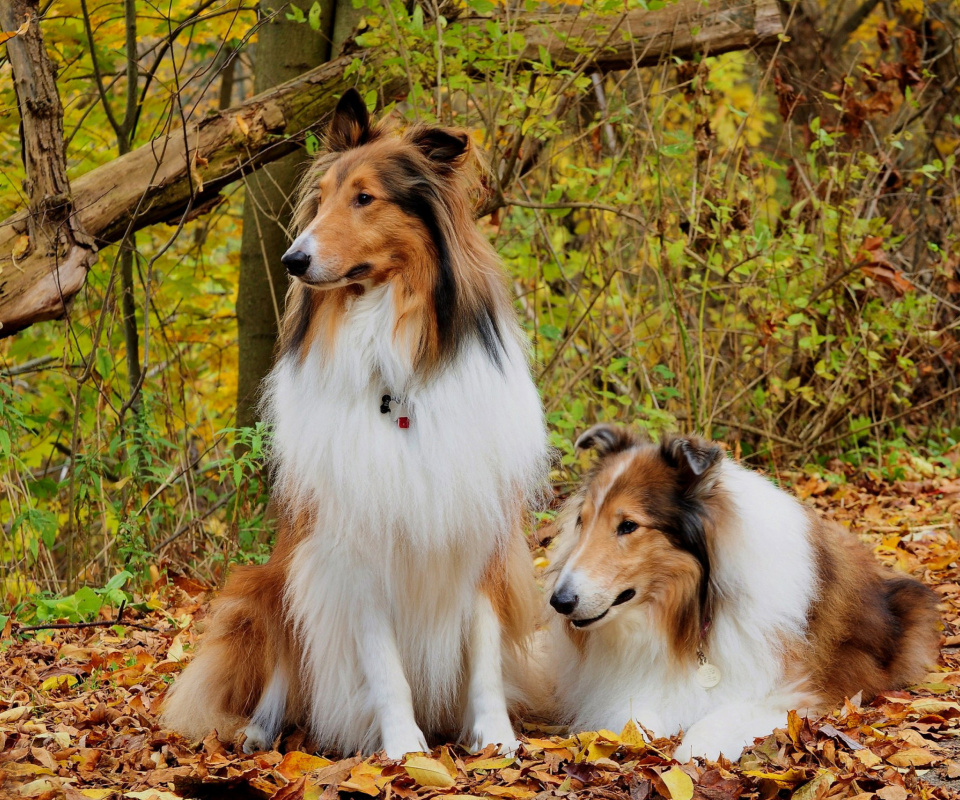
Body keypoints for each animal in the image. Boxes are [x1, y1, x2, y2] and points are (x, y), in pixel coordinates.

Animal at [161, 90, 544, 760]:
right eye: (323, 198)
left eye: (365, 197)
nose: (292, 259)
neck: (396, 373)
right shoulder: (353, 549)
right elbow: (384, 666)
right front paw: (406, 750)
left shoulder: (481, 532)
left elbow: (486, 653)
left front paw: (495, 738)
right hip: (268, 584)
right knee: (282, 671)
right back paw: (259, 731)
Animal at [544, 424, 940, 764]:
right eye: (582, 521)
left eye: (628, 525)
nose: (559, 602)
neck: (693, 612)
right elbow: (634, 715)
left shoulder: (792, 690)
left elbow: (724, 716)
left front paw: (693, 747)